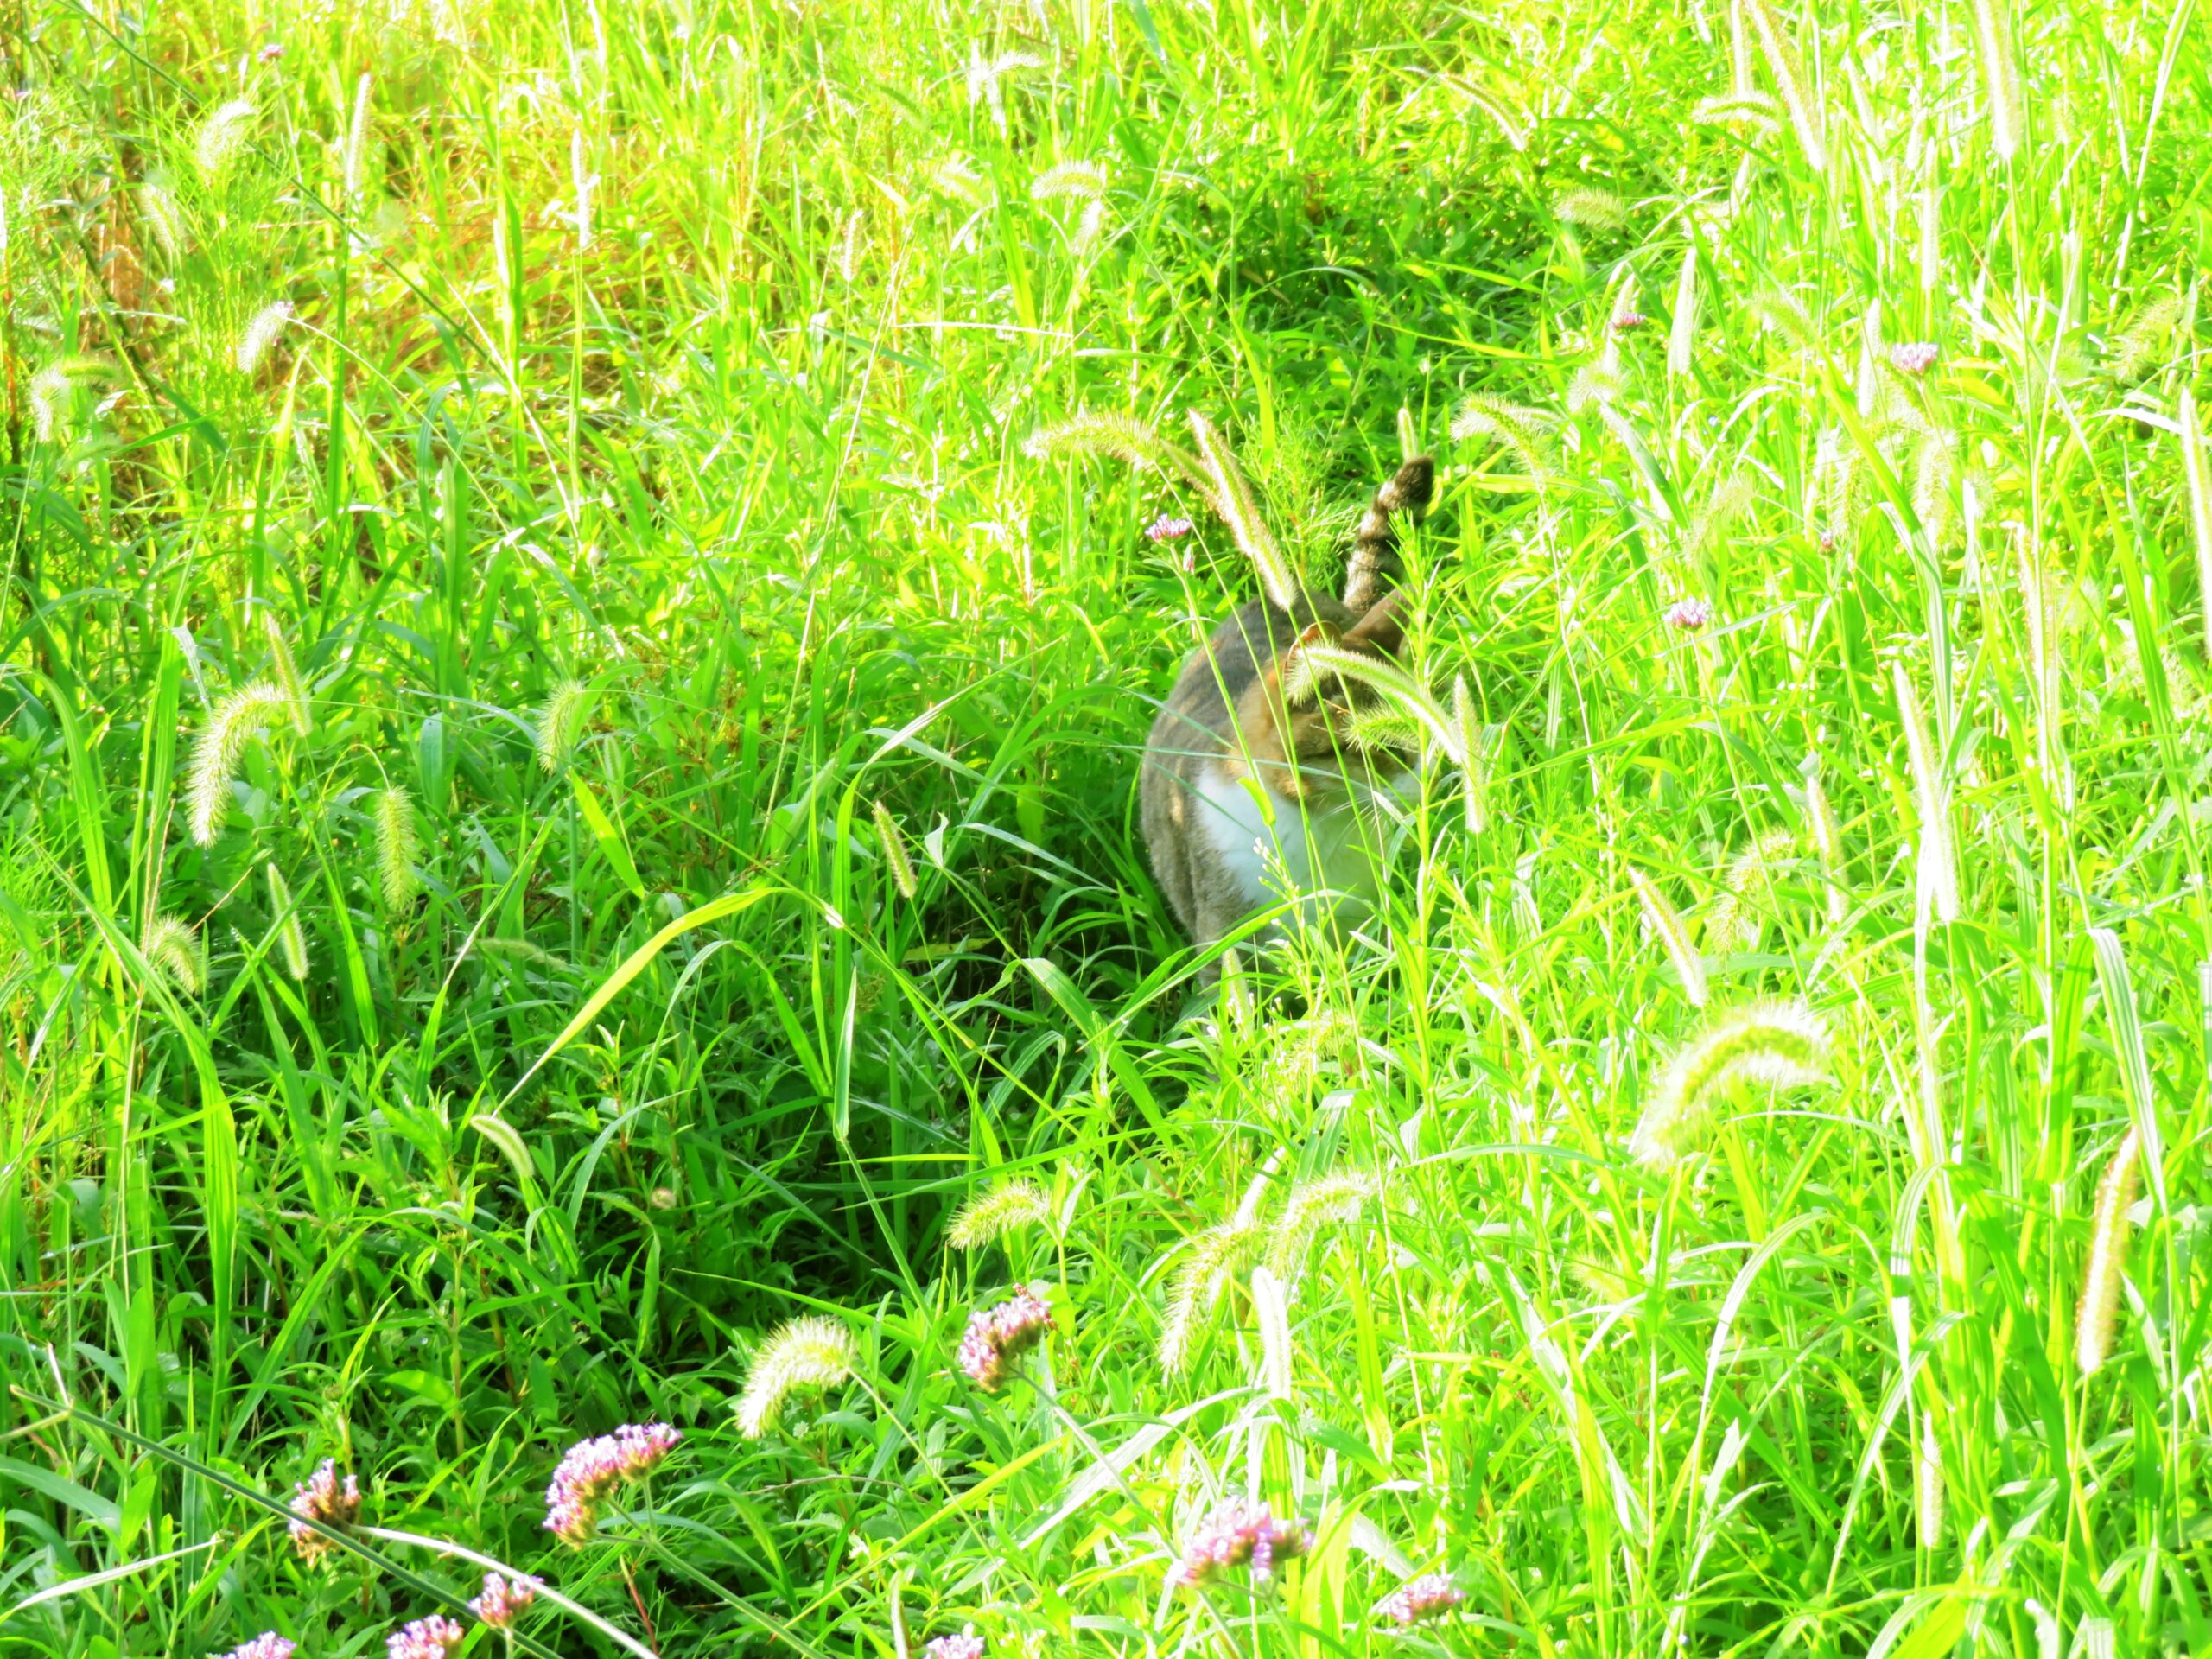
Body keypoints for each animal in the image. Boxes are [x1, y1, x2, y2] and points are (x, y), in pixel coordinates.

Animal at [1141, 455, 1433, 973]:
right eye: (1372, 748)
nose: (1424, 784)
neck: (1319, 828)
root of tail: (1291, 594)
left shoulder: (1362, 923)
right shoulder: (1225, 942)